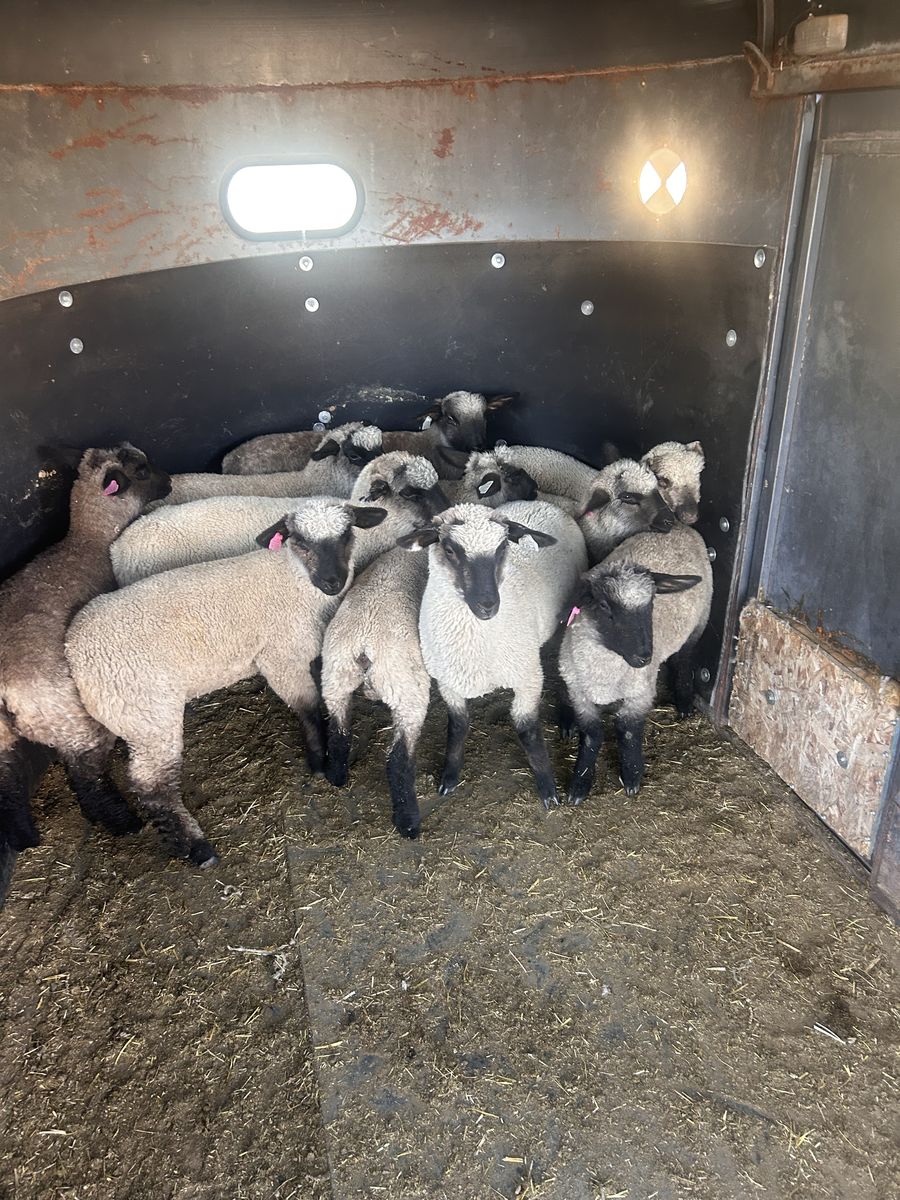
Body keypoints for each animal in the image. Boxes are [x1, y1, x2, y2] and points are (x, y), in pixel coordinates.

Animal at [0, 444, 171, 852]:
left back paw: (22, 836)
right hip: (73, 720)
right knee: (86, 775)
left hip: (3, 738)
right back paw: (121, 820)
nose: (171, 481)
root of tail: (5, 691)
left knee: (6, 783)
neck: (89, 539)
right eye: (142, 470)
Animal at [66, 498, 388, 868]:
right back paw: (196, 848)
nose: (332, 581)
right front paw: (319, 759)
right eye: (300, 541)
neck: (294, 579)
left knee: (85, 768)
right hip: (148, 716)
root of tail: (73, 649)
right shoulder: (281, 657)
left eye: (346, 534)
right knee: (152, 785)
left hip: (109, 714)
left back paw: (114, 819)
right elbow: (307, 706)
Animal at [399, 501, 587, 809]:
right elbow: (458, 726)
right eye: (450, 549)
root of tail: (539, 503)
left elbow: (528, 730)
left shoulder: (528, 677)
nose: (488, 604)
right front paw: (449, 777)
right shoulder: (448, 682)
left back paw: (568, 719)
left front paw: (548, 789)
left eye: (502, 548)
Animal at [558, 523, 712, 804]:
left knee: (683, 660)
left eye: (651, 603)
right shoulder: (579, 694)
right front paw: (580, 784)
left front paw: (631, 776)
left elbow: (628, 731)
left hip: (699, 622)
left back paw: (684, 702)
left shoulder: (639, 693)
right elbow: (592, 736)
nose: (645, 657)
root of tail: (679, 526)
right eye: (604, 605)